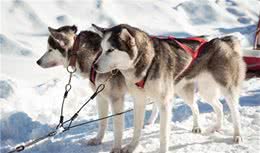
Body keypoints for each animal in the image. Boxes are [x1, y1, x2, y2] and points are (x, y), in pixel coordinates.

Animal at [93, 23, 246, 152]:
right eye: (102, 49)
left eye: (111, 50)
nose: (94, 66)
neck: (148, 62)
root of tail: (223, 40)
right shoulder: (139, 101)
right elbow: (137, 129)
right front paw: (132, 147)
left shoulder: (164, 103)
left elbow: (163, 134)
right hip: (200, 92)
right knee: (211, 106)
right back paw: (208, 127)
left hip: (227, 89)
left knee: (234, 111)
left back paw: (237, 135)